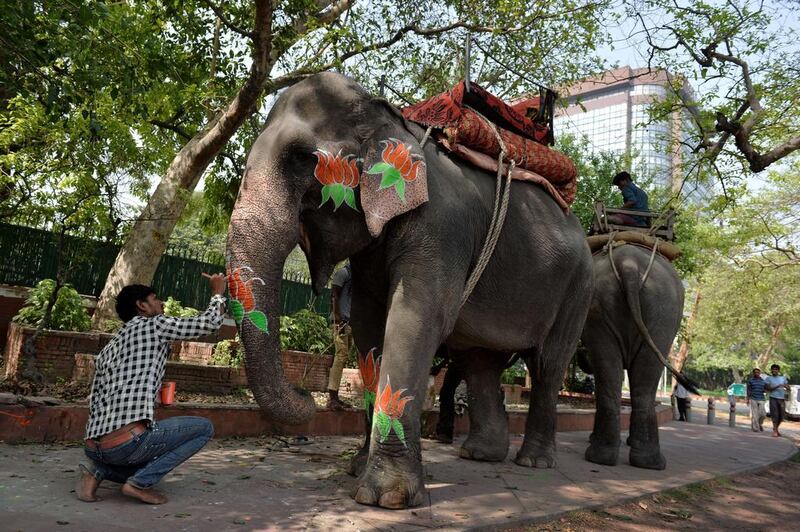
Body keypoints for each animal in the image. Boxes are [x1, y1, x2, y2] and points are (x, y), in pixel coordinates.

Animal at [225, 70, 592, 508]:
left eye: (299, 158)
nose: (305, 397)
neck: (394, 122)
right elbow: (367, 325)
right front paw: (357, 467)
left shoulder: (442, 229)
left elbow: (416, 317)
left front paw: (387, 498)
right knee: (480, 363)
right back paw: (481, 454)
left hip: (577, 288)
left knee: (548, 365)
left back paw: (533, 462)